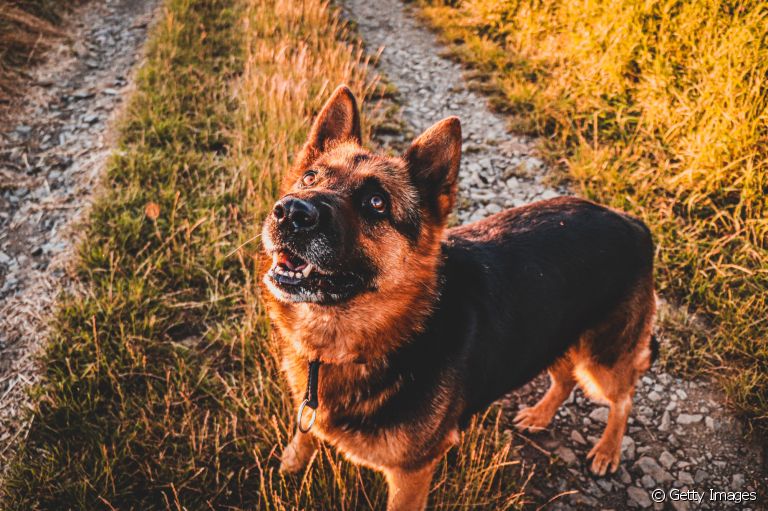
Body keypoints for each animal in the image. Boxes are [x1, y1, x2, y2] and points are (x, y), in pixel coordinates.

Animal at [260, 86, 656, 510]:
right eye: (309, 177)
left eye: (376, 203)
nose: (290, 212)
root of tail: (632, 222)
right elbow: (304, 433)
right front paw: (292, 464)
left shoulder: (412, 474)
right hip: (553, 336)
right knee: (566, 378)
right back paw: (540, 415)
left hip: (602, 361)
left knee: (624, 397)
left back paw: (608, 451)